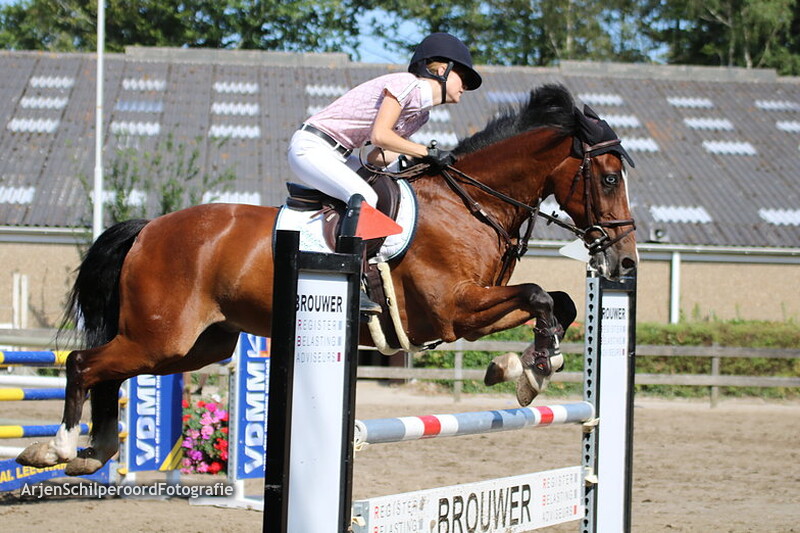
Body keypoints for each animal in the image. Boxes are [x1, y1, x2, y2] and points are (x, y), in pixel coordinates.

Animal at [17, 83, 637, 476]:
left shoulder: (469, 312)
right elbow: (538, 296)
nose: (625, 263)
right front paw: (532, 369)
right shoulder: (454, 311)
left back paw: (92, 452)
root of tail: (150, 228)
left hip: (191, 346)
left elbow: (559, 302)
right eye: (608, 178)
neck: (471, 204)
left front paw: (524, 365)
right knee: (84, 364)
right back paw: (57, 449)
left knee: (110, 372)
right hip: (161, 336)